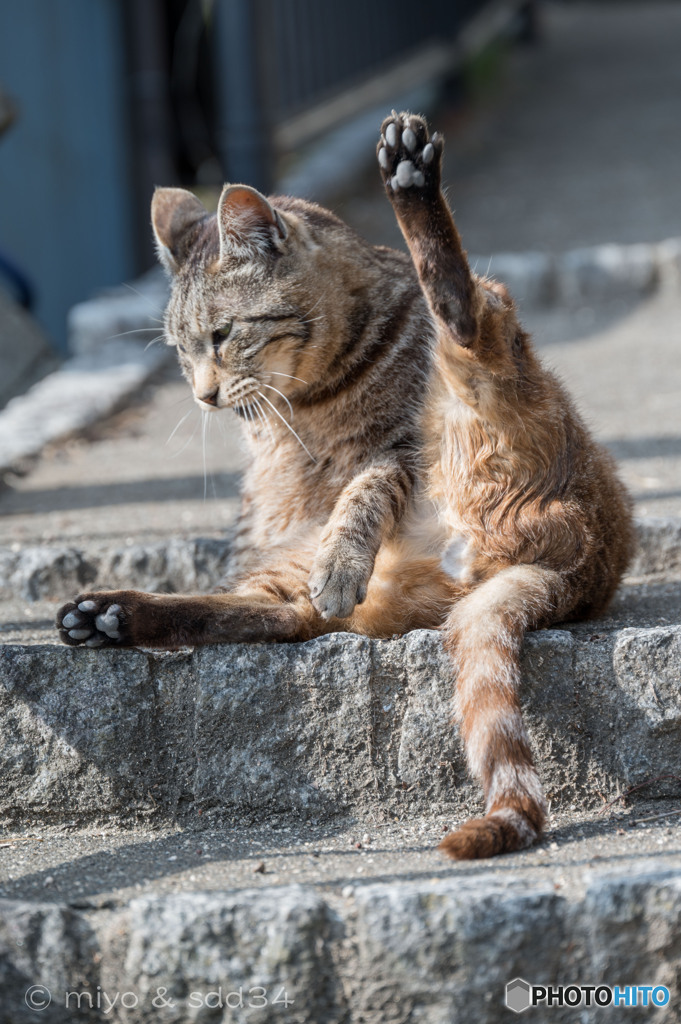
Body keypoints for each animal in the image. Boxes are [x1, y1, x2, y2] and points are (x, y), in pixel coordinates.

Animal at [54, 116, 630, 860]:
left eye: (223, 335)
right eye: (181, 351)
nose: (204, 395)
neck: (302, 409)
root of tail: (575, 563)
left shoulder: (395, 451)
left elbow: (362, 492)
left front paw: (343, 551)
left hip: (489, 377)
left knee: (468, 313)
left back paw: (411, 177)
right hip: (305, 573)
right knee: (270, 613)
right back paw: (114, 614)